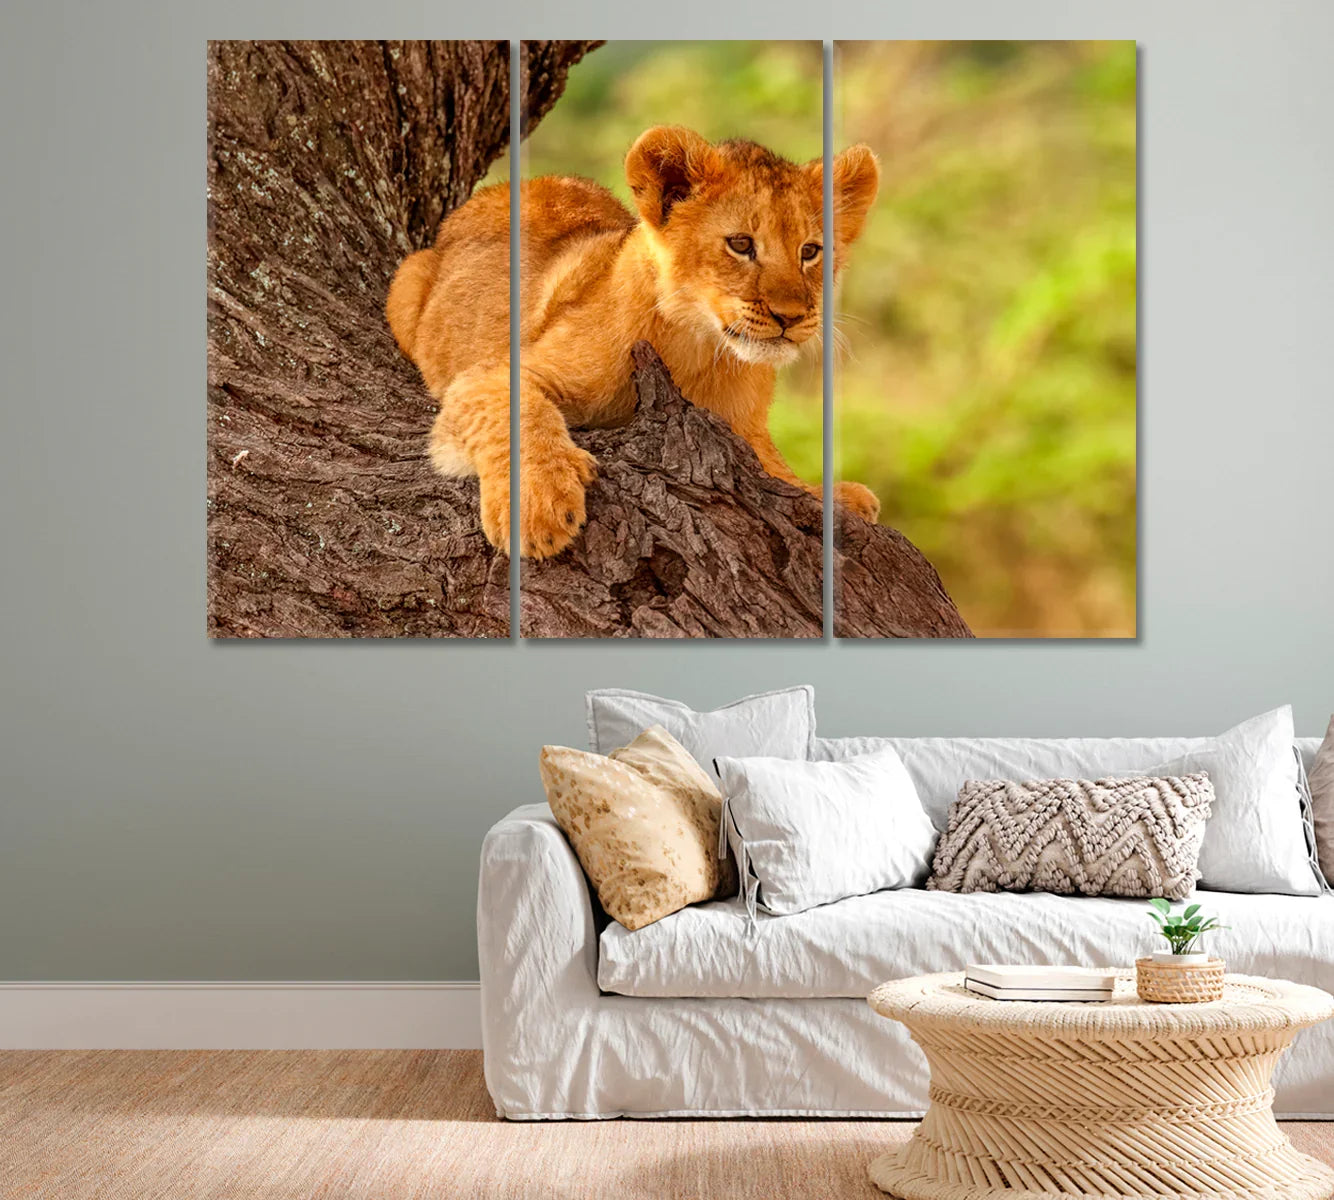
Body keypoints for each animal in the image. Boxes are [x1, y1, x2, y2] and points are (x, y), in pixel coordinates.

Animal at [386, 125, 881, 559]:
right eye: (741, 244)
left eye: (810, 251)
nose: (791, 317)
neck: (699, 352)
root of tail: (494, 192)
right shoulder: (488, 374)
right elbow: (520, 412)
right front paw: (538, 506)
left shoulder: (747, 430)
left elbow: (776, 469)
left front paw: (834, 495)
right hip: (407, 281)